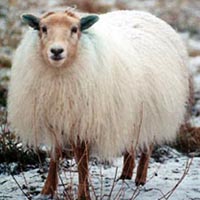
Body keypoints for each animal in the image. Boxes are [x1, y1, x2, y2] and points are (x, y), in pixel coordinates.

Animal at [7, 9, 189, 200]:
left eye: (74, 29)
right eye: (43, 28)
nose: (56, 51)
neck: (61, 75)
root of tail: (145, 13)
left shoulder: (84, 122)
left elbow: (82, 161)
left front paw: (83, 194)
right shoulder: (58, 119)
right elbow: (55, 155)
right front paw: (47, 190)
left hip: (154, 110)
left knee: (148, 145)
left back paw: (140, 178)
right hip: (132, 113)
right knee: (131, 143)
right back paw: (125, 174)